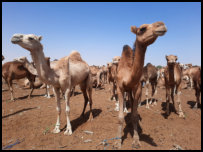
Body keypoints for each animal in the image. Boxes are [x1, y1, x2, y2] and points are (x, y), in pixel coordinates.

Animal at [114, 20, 167, 148]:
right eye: (142, 28)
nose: (161, 24)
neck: (128, 74)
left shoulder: (137, 87)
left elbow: (134, 115)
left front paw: (136, 140)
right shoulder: (120, 87)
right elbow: (120, 117)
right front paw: (118, 141)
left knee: (135, 107)